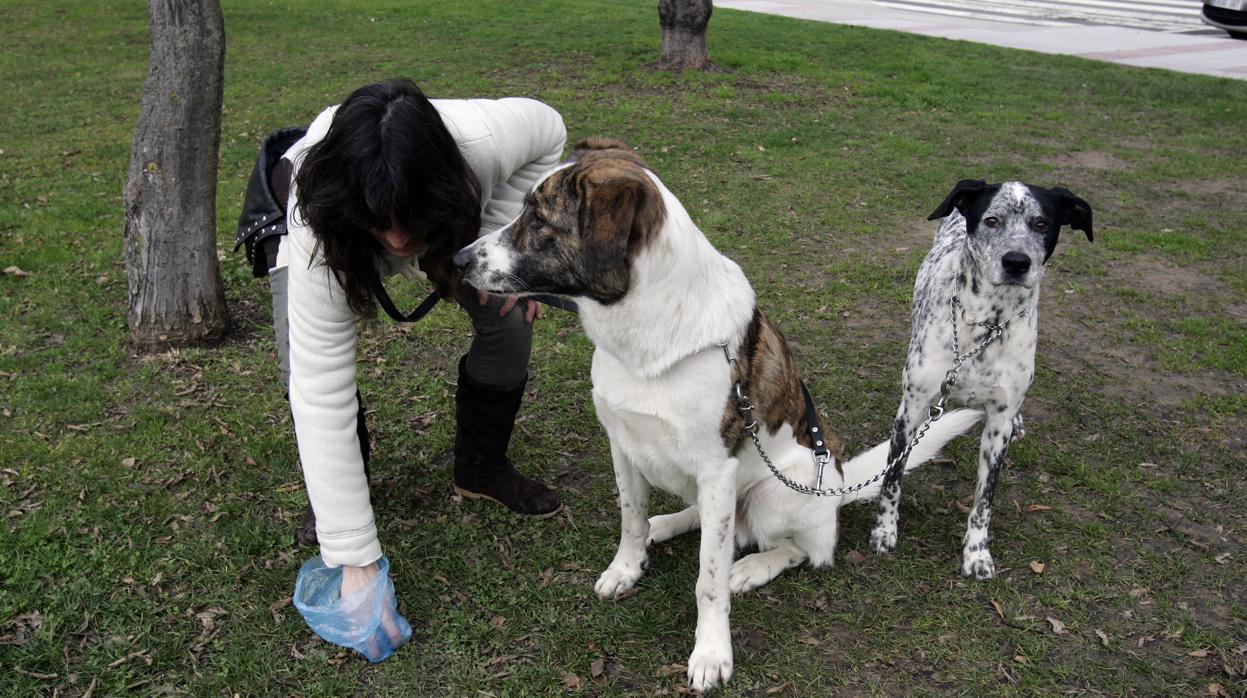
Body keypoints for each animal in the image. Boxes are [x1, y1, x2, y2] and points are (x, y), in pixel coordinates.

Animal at [453, 138, 977, 688]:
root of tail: (835, 487)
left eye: (537, 219)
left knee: (805, 549)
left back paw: (752, 566)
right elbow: (630, 519)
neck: (646, 331)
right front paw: (627, 567)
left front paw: (710, 651)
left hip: (774, 493)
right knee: (711, 523)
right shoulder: (623, 445)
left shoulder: (718, 469)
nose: (458, 259)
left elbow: (709, 581)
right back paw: (669, 523)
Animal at [867, 178, 1092, 578]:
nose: (1016, 262)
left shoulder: (997, 426)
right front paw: (884, 531)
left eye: (1041, 223)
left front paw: (976, 553)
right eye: (991, 220)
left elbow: (984, 500)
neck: (988, 321)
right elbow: (892, 479)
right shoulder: (911, 410)